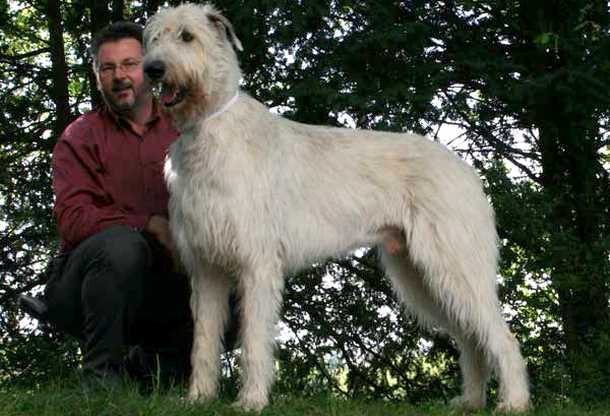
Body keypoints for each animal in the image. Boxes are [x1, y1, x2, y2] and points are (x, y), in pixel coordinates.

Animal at [142, 4, 528, 412]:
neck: (209, 126)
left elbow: (254, 340)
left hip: (453, 262)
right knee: (470, 336)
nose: (153, 69)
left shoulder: (256, 264)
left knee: (501, 336)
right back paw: (470, 400)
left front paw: (251, 401)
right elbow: (203, 340)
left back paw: (515, 402)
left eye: (187, 36)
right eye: (154, 37)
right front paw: (198, 398)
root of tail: (468, 173)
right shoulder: (207, 268)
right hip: (420, 273)